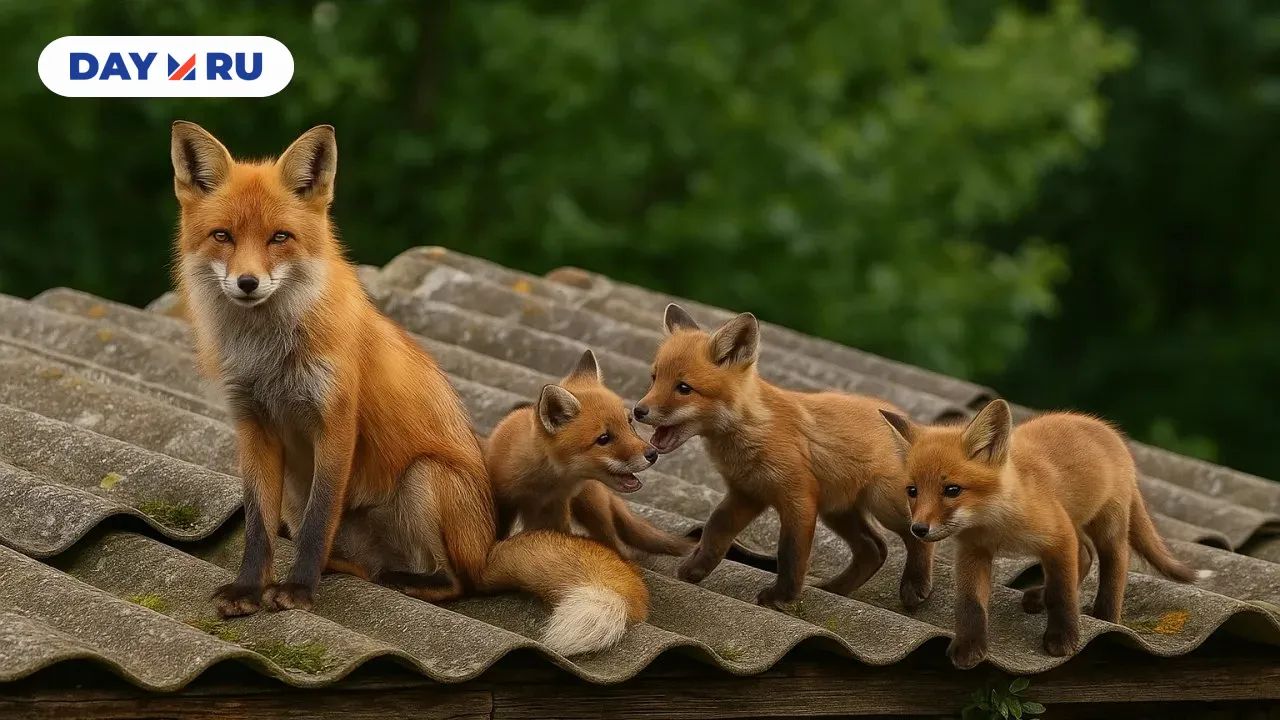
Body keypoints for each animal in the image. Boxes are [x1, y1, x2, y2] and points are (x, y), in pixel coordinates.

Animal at [170, 121, 647, 655]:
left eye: (280, 238)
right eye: (223, 236)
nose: (248, 283)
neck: (269, 356)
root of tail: (487, 548)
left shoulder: (336, 421)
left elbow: (317, 522)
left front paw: (298, 590)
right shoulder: (253, 426)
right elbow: (258, 528)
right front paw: (251, 588)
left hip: (425, 478)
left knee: (459, 583)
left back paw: (407, 581)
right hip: (297, 490)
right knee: (360, 562)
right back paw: (351, 570)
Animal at [486, 349, 693, 558]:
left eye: (629, 422)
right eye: (603, 438)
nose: (653, 454)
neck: (543, 485)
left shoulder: (554, 511)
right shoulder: (506, 502)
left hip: (594, 511)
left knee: (616, 544)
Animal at [634, 304, 935, 610]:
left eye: (684, 388)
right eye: (654, 378)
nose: (637, 411)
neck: (756, 429)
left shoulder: (798, 498)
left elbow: (790, 554)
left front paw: (782, 597)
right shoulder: (747, 493)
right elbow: (715, 531)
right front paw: (695, 570)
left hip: (884, 502)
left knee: (917, 535)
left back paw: (915, 585)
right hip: (837, 510)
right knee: (874, 549)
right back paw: (834, 589)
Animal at [879, 399, 1198, 669]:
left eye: (952, 490)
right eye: (912, 491)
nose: (918, 529)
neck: (997, 525)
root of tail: (1105, 429)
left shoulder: (1057, 536)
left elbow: (1061, 592)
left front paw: (1063, 638)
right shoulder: (973, 551)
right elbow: (970, 604)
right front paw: (969, 647)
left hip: (1106, 526)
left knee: (1114, 561)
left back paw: (1107, 617)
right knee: (1085, 555)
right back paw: (1040, 597)